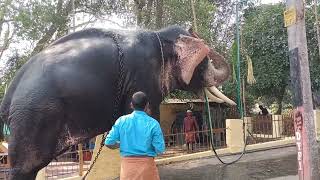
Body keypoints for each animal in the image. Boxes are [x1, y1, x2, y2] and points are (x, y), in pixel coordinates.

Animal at [0, 24, 235, 179]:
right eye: (204, 62)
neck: (160, 35)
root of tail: (8, 99)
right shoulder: (143, 75)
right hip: (34, 115)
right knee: (25, 168)